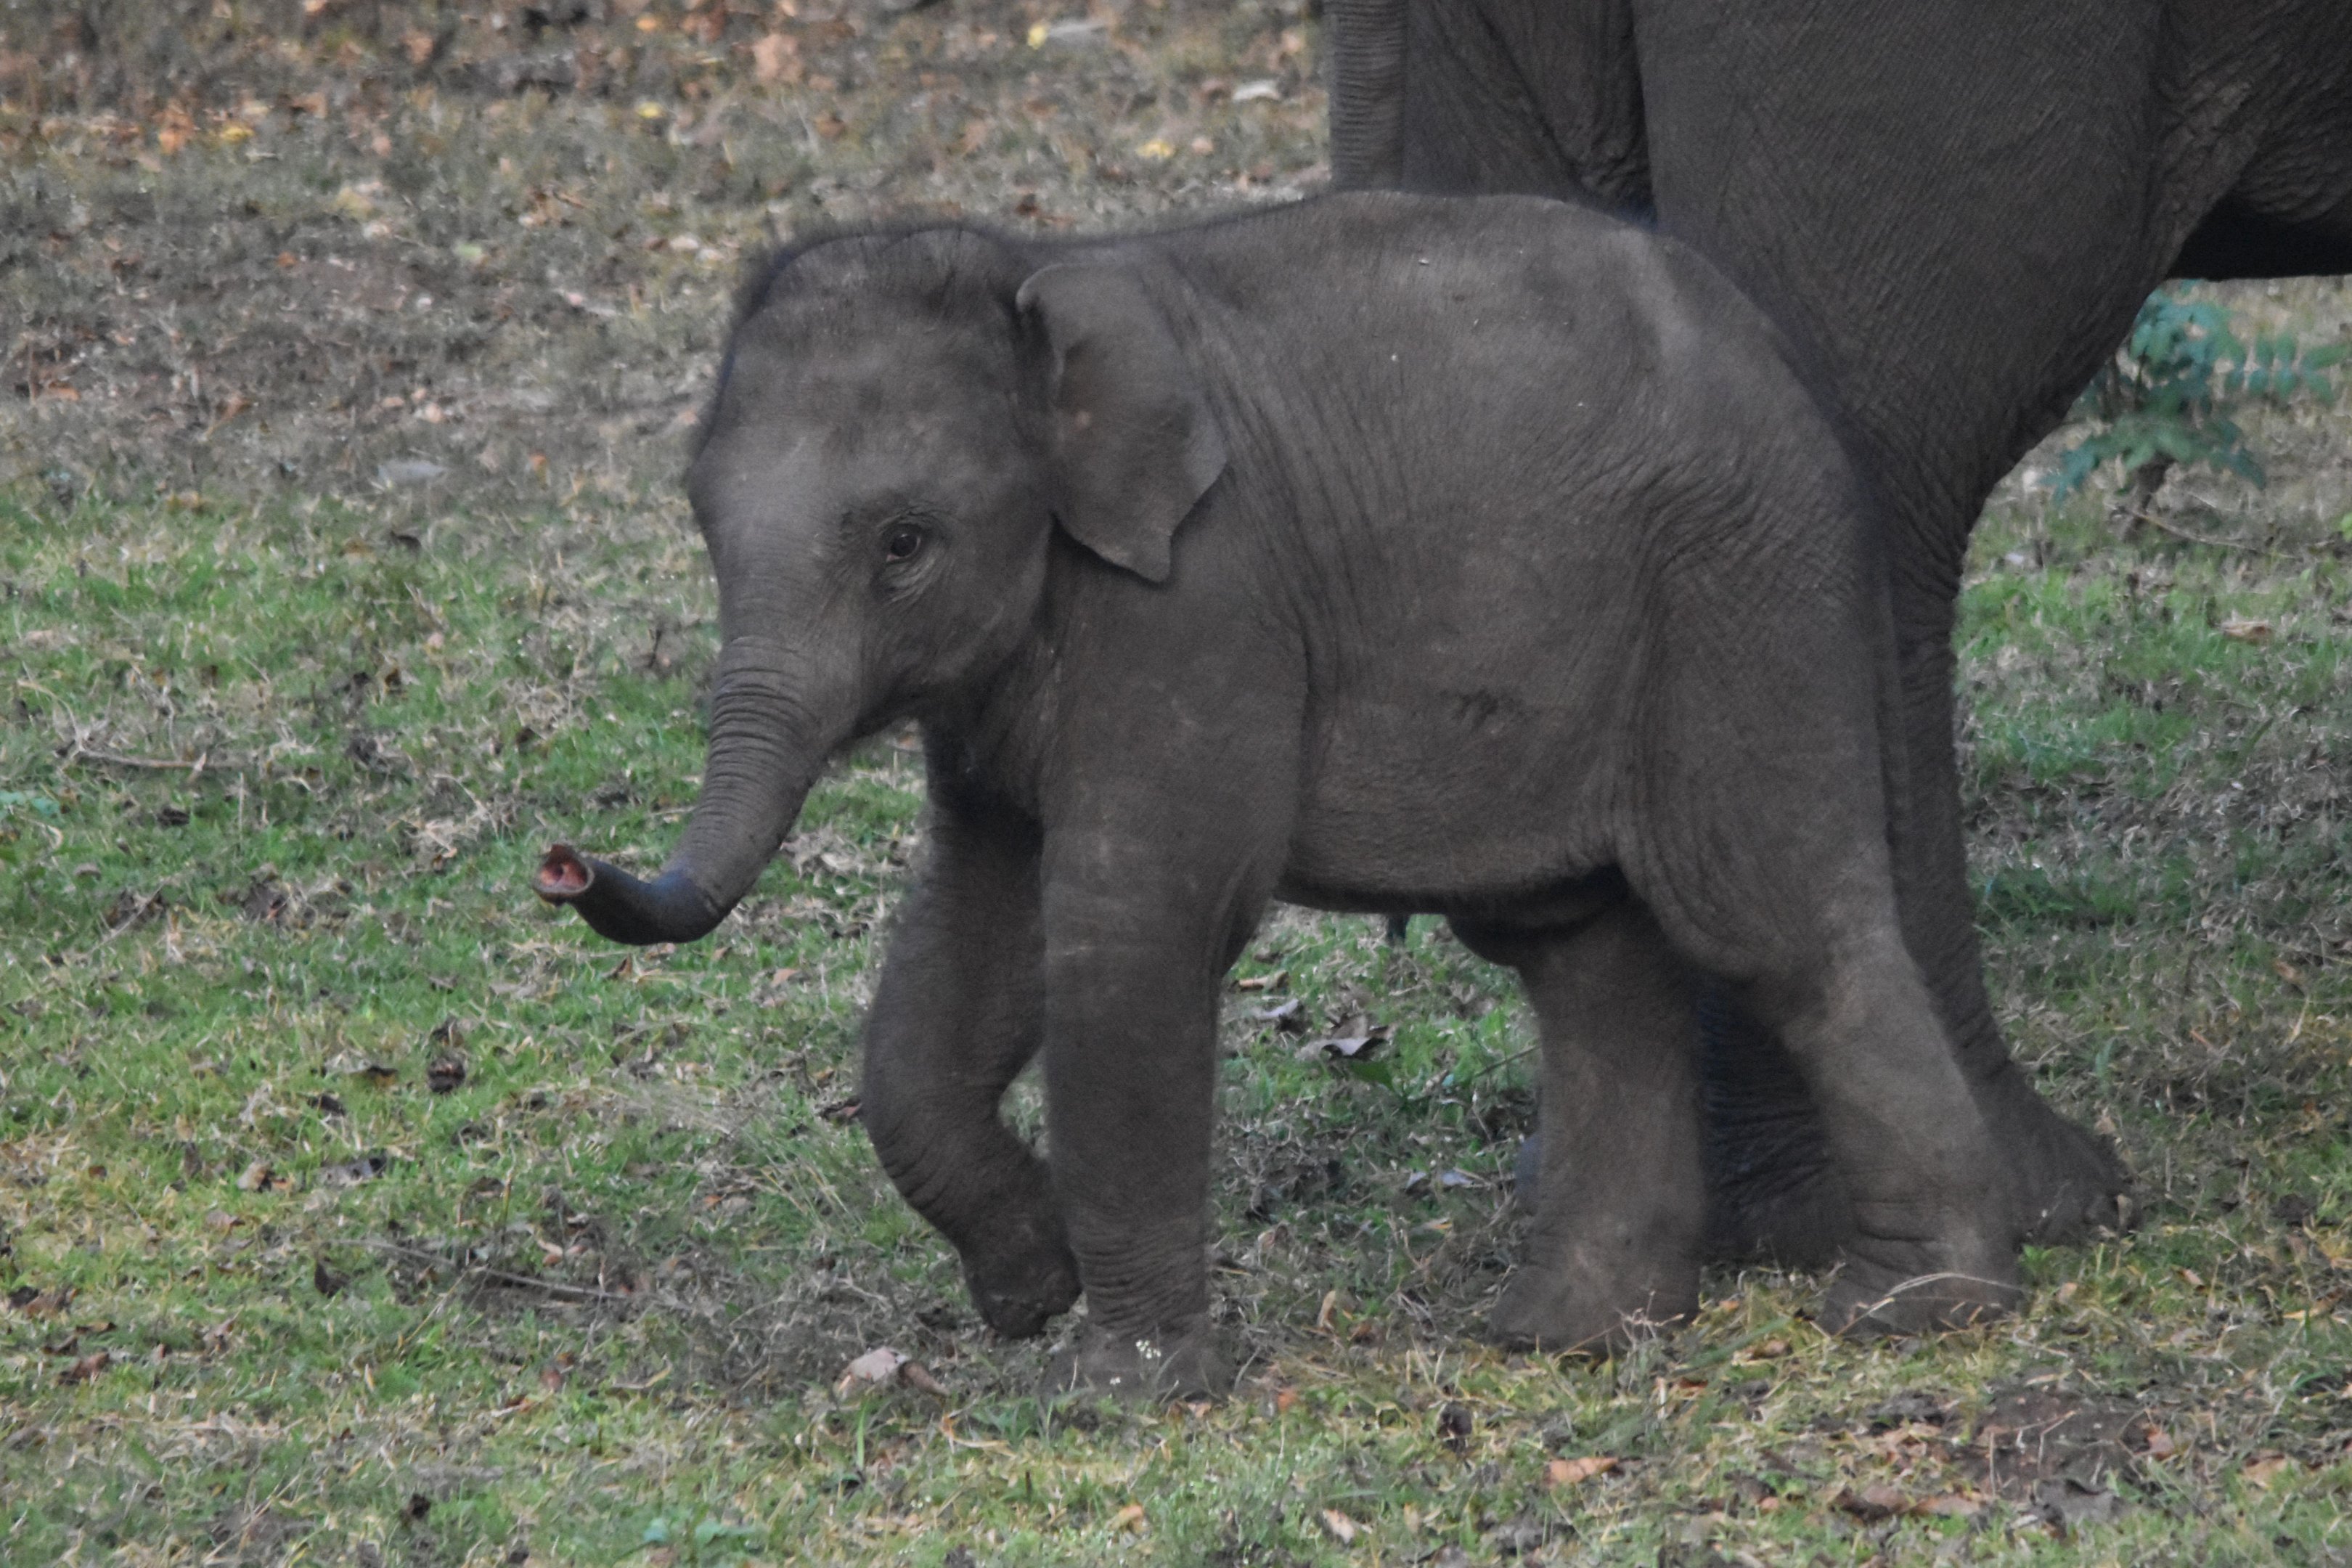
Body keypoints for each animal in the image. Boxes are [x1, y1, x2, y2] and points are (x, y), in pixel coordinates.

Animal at [533, 191, 2020, 1397]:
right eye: (703, 526)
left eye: (906, 545)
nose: (564, 862)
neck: (1043, 285)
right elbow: (975, 926)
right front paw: (1030, 1291)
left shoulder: (1202, 599)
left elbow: (1130, 926)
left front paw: (1123, 1393)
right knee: (1586, 954)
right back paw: (1566, 1334)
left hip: (1740, 596)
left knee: (1776, 926)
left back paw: (1911, 1309)